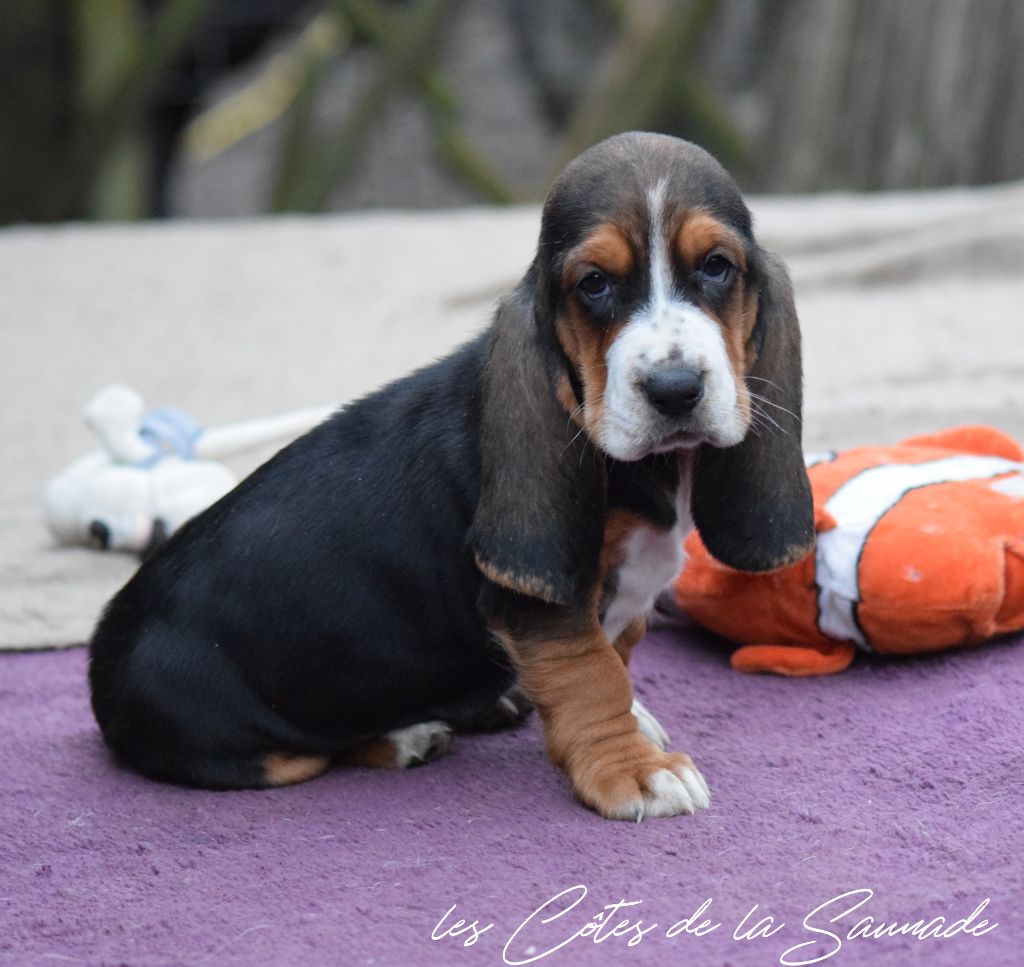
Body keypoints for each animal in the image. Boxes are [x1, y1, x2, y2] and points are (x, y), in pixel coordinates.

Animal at [88, 132, 811, 819]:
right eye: (594, 284)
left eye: (716, 267)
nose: (675, 389)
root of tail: (103, 652)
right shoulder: (545, 604)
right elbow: (592, 673)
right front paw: (631, 769)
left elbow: (621, 651)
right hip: (251, 741)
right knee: (318, 751)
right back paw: (408, 734)